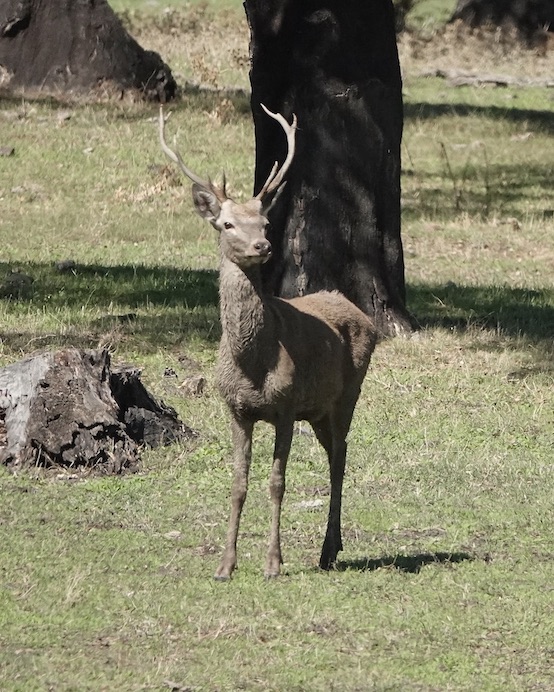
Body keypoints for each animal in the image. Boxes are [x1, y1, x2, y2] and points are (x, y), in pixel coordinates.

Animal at [159, 104, 377, 580]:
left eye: (264, 221)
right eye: (227, 223)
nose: (262, 245)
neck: (252, 362)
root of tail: (363, 315)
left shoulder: (285, 406)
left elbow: (277, 483)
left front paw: (273, 563)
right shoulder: (237, 410)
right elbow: (238, 484)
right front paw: (225, 565)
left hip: (347, 393)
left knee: (340, 456)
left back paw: (328, 549)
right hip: (318, 409)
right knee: (334, 453)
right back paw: (330, 547)